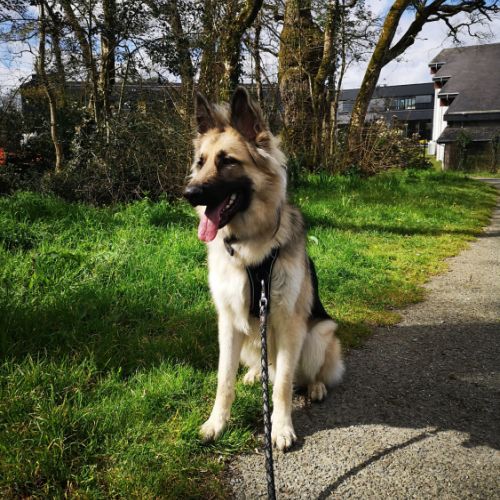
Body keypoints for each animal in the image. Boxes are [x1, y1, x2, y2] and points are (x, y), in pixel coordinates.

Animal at [183, 87, 344, 451]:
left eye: (227, 161)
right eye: (200, 162)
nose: (189, 193)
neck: (250, 250)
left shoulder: (289, 323)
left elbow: (283, 383)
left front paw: (280, 428)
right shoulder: (228, 323)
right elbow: (223, 380)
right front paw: (217, 423)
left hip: (319, 334)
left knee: (309, 373)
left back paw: (315, 386)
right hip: (249, 338)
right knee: (264, 364)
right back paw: (257, 373)